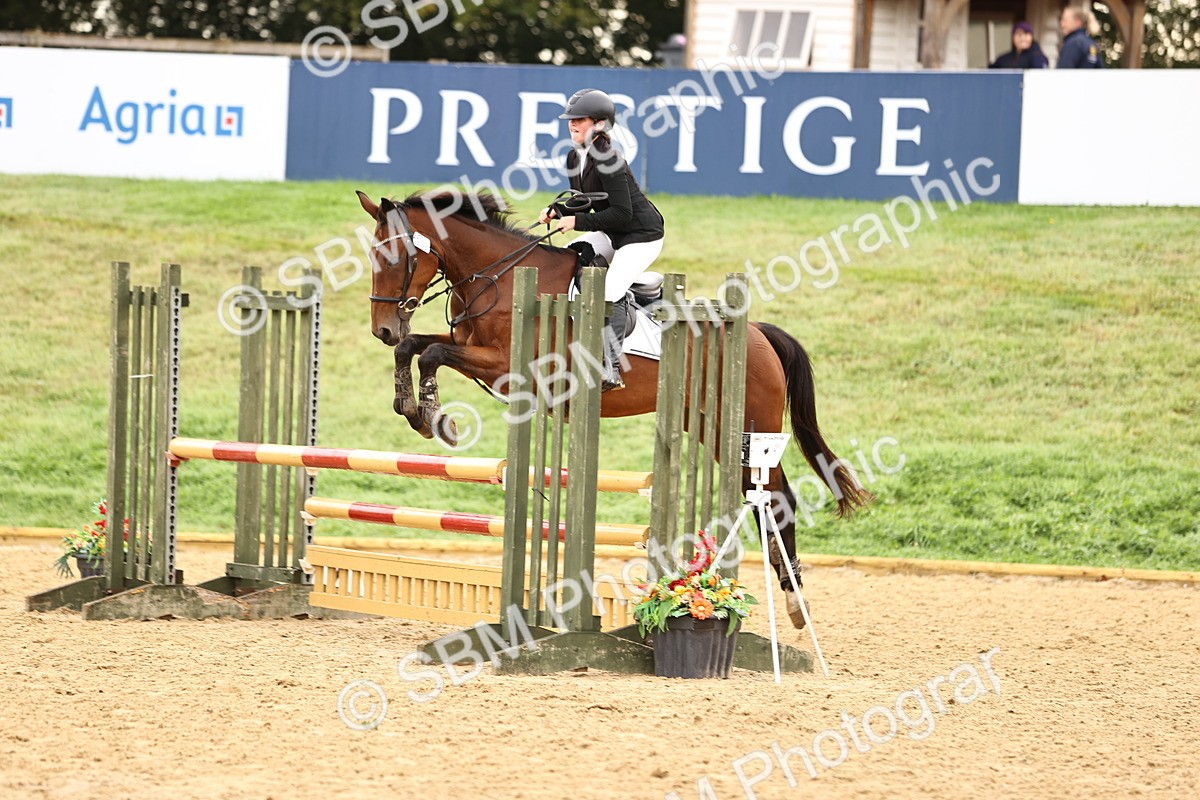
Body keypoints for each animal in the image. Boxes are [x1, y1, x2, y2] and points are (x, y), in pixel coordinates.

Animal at [355, 190, 872, 628]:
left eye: (396, 257)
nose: (382, 329)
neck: (500, 278)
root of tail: (760, 335)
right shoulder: (475, 351)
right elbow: (417, 348)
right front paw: (412, 407)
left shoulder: (509, 368)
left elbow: (431, 354)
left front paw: (435, 417)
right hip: (712, 429)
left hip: (749, 429)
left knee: (779, 500)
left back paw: (794, 602)